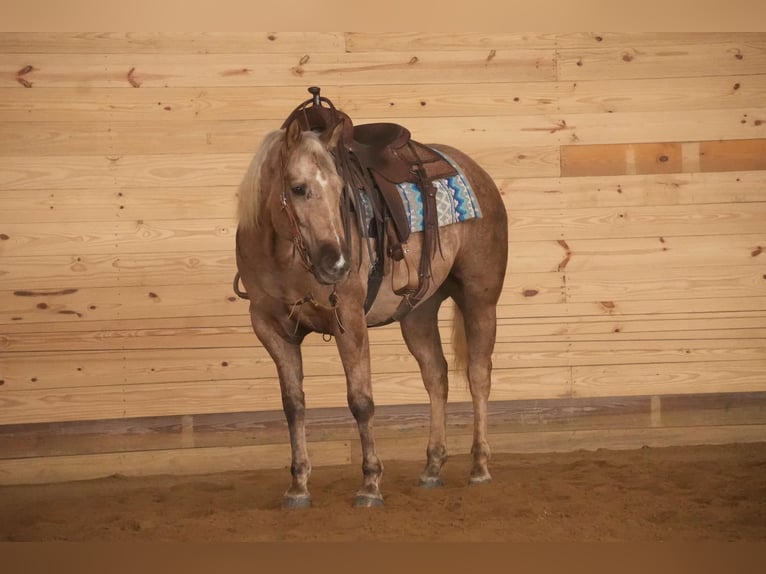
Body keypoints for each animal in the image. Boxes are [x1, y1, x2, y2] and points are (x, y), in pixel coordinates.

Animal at [234, 90, 510, 508]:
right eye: (298, 188)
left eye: (341, 191)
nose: (337, 263)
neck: (283, 254)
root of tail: (476, 173)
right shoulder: (270, 328)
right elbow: (293, 405)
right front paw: (298, 486)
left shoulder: (349, 319)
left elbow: (361, 401)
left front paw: (370, 484)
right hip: (418, 312)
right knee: (436, 376)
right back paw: (432, 467)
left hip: (480, 299)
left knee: (478, 374)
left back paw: (479, 466)